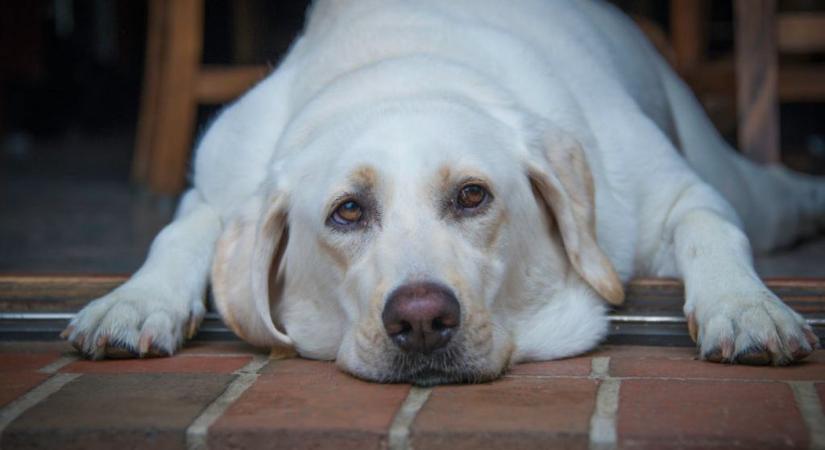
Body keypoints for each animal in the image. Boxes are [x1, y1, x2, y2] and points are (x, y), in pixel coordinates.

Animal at [61, 0, 820, 386]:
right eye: (347, 212)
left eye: (472, 197)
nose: (421, 318)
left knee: (769, 198)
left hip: (738, 177)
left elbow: (709, 230)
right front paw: (136, 300)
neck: (400, 65)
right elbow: (179, 231)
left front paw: (745, 308)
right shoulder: (215, 183)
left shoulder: (675, 196)